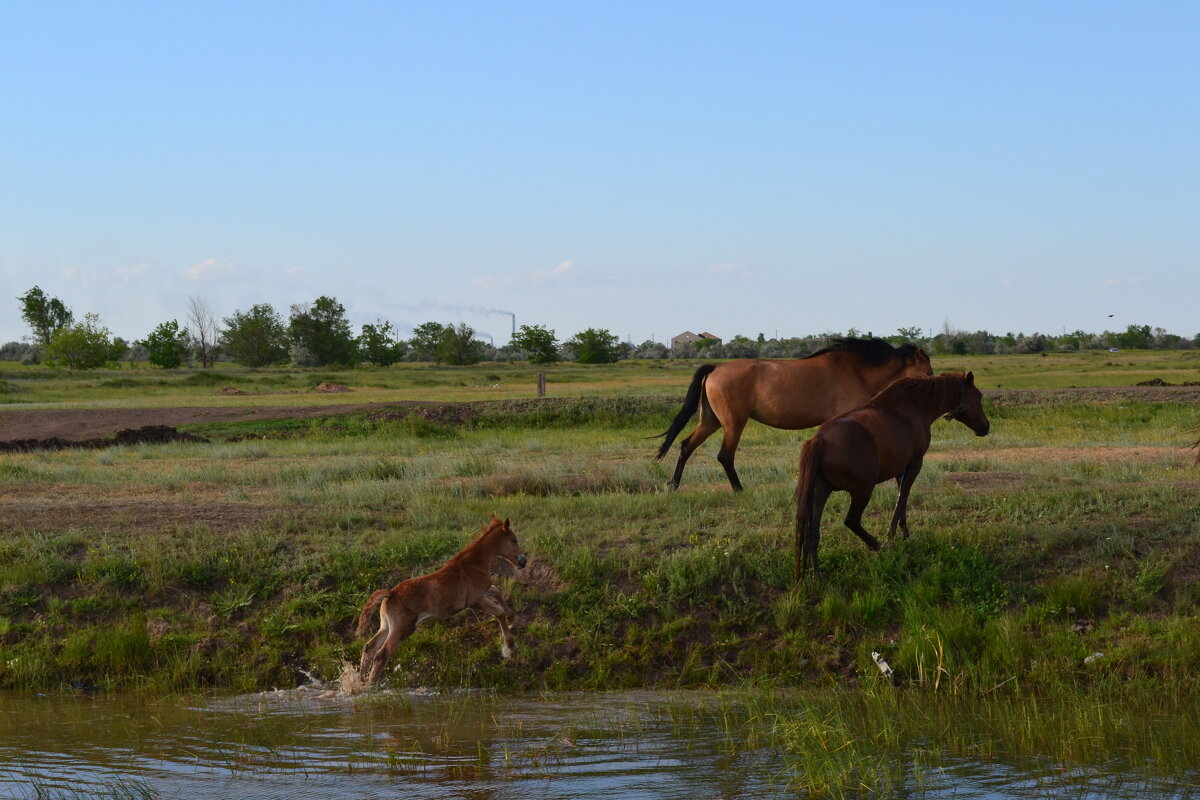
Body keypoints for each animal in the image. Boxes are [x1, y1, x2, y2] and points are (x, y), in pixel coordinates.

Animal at [352, 515, 528, 686]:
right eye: (513, 540)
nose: (523, 561)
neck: (473, 565)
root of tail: (391, 593)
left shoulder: (482, 593)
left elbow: (497, 591)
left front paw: (511, 617)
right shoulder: (475, 600)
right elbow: (498, 611)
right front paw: (510, 647)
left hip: (386, 626)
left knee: (369, 648)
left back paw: (361, 681)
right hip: (402, 629)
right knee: (381, 655)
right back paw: (371, 685)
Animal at [652, 338, 931, 489]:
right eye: (927, 371)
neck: (855, 370)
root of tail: (716, 369)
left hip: (711, 421)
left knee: (686, 445)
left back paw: (673, 484)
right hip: (733, 423)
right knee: (725, 456)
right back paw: (739, 489)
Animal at [796, 371, 984, 578]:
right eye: (979, 396)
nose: (986, 427)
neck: (917, 404)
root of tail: (819, 440)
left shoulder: (899, 469)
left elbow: (902, 499)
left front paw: (904, 532)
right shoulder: (915, 464)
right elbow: (902, 499)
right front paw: (892, 536)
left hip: (820, 493)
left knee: (812, 535)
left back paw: (817, 574)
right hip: (862, 491)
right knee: (851, 520)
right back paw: (875, 544)